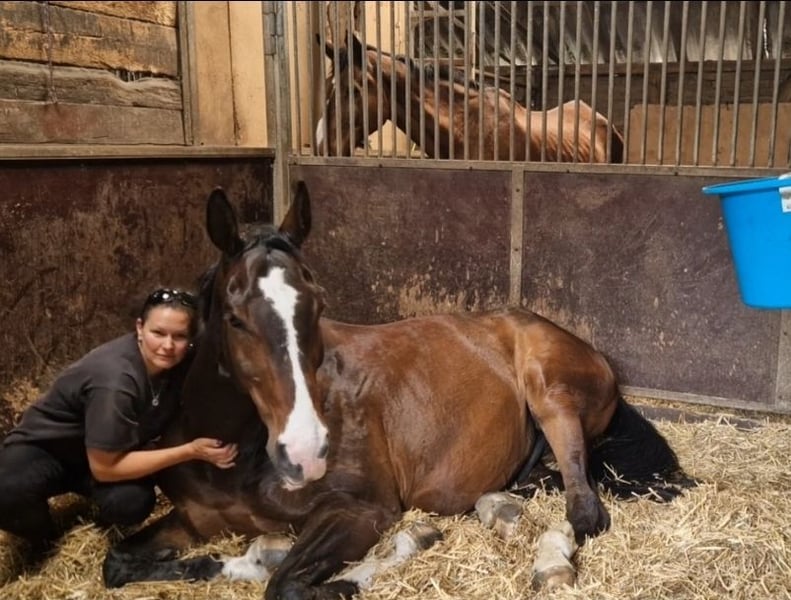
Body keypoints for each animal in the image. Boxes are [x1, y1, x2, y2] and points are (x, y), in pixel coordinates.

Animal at [105, 180, 693, 599]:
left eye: (318, 305)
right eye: (234, 317)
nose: (305, 451)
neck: (236, 455)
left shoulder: (362, 511)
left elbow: (288, 584)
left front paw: (379, 563)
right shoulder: (191, 519)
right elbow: (118, 561)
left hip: (551, 395)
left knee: (583, 509)